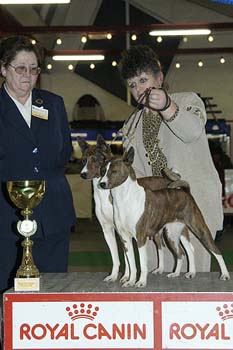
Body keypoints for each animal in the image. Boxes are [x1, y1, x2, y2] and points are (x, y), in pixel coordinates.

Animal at [99, 146, 229, 286]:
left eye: (114, 172)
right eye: (102, 171)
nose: (101, 184)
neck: (124, 198)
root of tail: (185, 192)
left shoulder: (140, 238)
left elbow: (142, 264)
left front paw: (141, 282)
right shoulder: (125, 238)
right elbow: (132, 264)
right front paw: (130, 281)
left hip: (199, 229)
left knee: (215, 251)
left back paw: (225, 274)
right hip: (172, 233)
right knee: (182, 252)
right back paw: (182, 273)